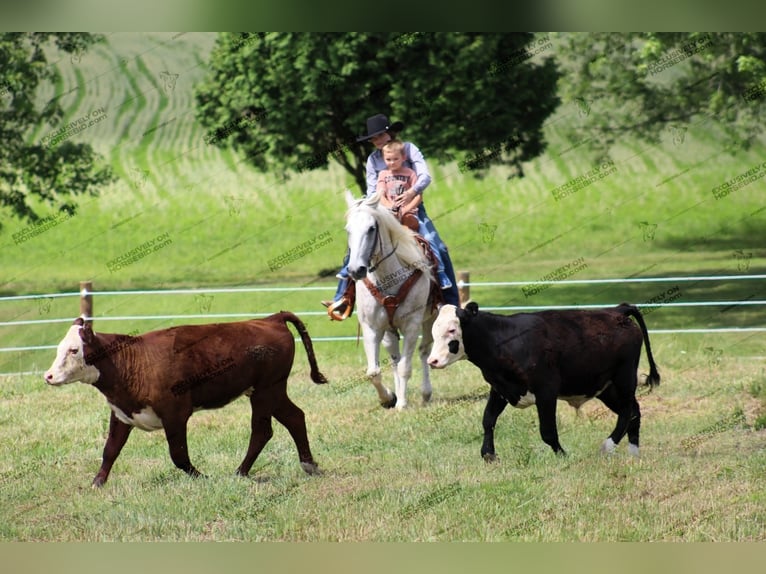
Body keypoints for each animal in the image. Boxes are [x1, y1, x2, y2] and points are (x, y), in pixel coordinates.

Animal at [45, 312, 328, 488]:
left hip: (265, 391)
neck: (130, 360)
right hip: (273, 391)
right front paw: (97, 483)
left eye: (74, 350)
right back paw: (308, 465)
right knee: (294, 417)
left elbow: (178, 455)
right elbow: (110, 450)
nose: (48, 376)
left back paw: (240, 471)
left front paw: (202, 477)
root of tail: (271, 319)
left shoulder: (175, 413)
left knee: (262, 430)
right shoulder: (122, 414)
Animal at [428, 304, 664, 462]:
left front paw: (563, 455)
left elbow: (548, 431)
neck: (504, 340)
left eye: (451, 330)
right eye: (433, 331)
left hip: (624, 377)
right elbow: (488, 420)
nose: (432, 361)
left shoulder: (546, 391)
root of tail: (616, 310)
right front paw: (489, 455)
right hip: (605, 387)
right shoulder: (501, 388)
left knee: (627, 411)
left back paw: (607, 446)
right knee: (634, 411)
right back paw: (633, 453)